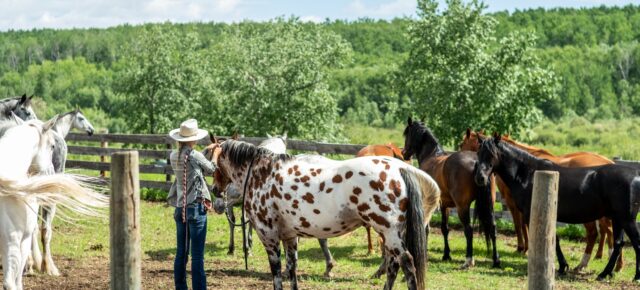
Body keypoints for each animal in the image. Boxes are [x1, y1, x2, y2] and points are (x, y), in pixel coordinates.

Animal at [472, 135, 640, 282]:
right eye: (478, 153)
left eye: (492, 154)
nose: (480, 178)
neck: (528, 174)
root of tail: (636, 176)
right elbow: (555, 239)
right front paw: (562, 266)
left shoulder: (531, 214)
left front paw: (560, 266)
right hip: (618, 219)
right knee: (618, 244)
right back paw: (605, 274)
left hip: (626, 219)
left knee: (635, 243)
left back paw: (635, 276)